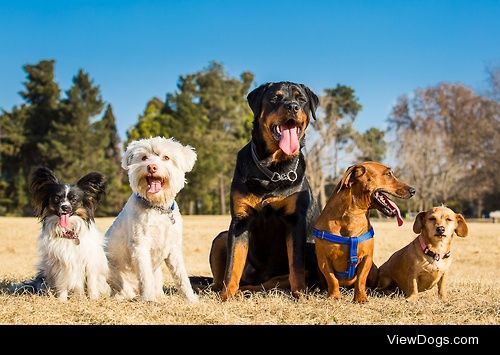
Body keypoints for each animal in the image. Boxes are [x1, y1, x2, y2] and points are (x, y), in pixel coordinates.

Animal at [106, 136, 198, 304]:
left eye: (166, 157)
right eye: (144, 158)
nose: (152, 167)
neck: (158, 209)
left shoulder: (174, 248)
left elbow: (181, 276)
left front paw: (191, 299)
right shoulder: (140, 246)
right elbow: (145, 276)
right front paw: (149, 299)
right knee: (123, 289)